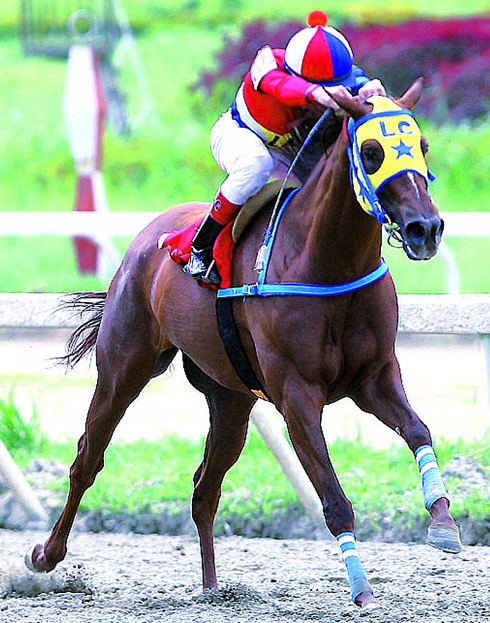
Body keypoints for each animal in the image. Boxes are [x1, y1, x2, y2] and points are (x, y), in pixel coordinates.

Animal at [24, 78, 462, 608]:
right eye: (372, 151)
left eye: (422, 146)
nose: (426, 228)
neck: (328, 263)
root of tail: (146, 238)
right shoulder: (297, 396)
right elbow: (333, 499)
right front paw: (361, 590)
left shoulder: (374, 377)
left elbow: (419, 431)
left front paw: (444, 523)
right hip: (123, 368)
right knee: (88, 458)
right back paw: (45, 556)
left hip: (229, 398)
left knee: (204, 487)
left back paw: (213, 587)